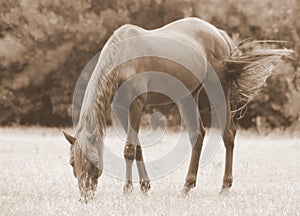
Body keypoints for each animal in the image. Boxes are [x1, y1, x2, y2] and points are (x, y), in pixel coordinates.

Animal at [61, 17, 292, 201]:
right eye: (72, 163)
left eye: (93, 162)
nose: (85, 197)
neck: (122, 56)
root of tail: (219, 34)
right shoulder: (120, 108)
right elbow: (137, 148)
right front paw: (145, 187)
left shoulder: (136, 104)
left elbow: (129, 149)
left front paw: (127, 190)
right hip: (188, 96)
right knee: (197, 135)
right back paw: (187, 186)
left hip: (219, 91)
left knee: (228, 134)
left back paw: (225, 186)